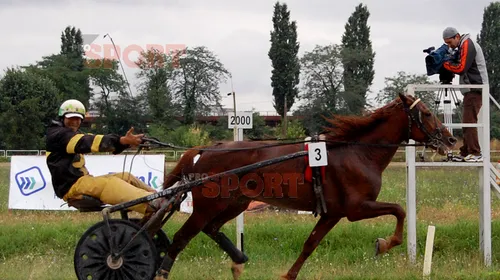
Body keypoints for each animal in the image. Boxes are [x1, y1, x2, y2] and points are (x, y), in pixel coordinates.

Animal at [152, 93, 458, 278]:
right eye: (427, 113)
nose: (451, 139)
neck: (357, 152)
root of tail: (207, 148)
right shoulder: (356, 208)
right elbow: (399, 210)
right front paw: (384, 244)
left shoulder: (332, 214)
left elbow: (310, 244)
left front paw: (288, 274)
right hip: (207, 205)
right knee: (181, 238)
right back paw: (163, 272)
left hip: (235, 203)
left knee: (211, 228)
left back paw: (238, 258)